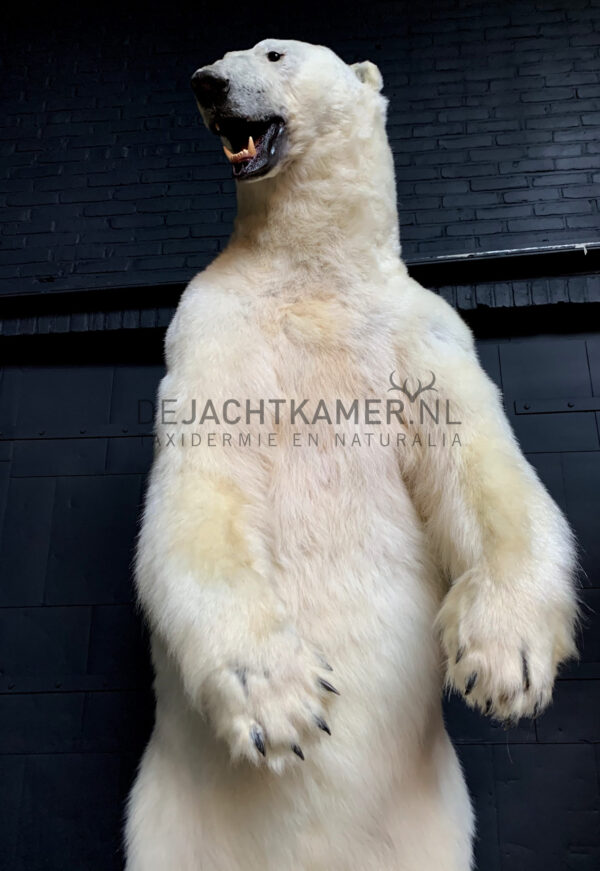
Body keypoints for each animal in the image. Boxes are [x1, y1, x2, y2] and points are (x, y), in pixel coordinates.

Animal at [124, 39, 580, 871]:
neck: (313, 271)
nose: (207, 83)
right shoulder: (210, 323)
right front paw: (282, 699)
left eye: (273, 51)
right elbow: (206, 483)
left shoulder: (421, 334)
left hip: (437, 825)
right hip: (163, 823)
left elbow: (483, 471)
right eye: (225, 54)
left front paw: (504, 660)